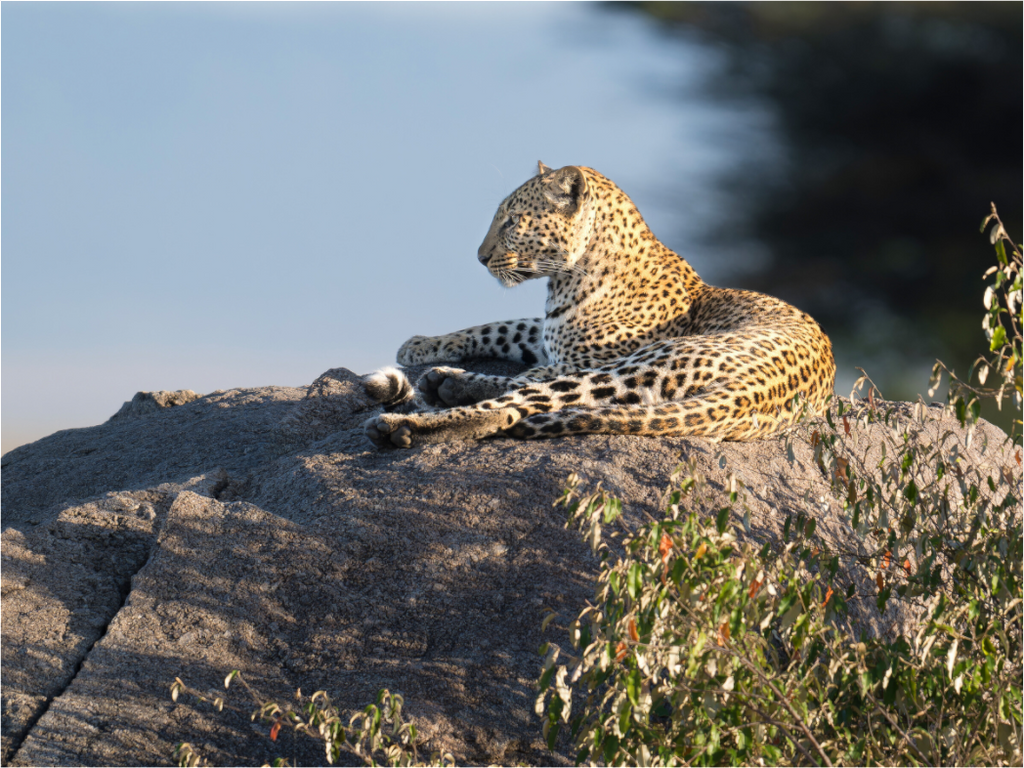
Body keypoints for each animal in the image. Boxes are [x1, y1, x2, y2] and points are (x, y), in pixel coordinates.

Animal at [362, 162, 835, 449]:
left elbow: (525, 374)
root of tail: (755, 393)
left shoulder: (581, 356)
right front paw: (420, 345)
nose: (480, 257)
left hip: (641, 366)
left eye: (512, 221)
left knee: (519, 406)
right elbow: (500, 327)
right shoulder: (550, 333)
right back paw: (444, 381)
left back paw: (405, 424)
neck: (565, 277)